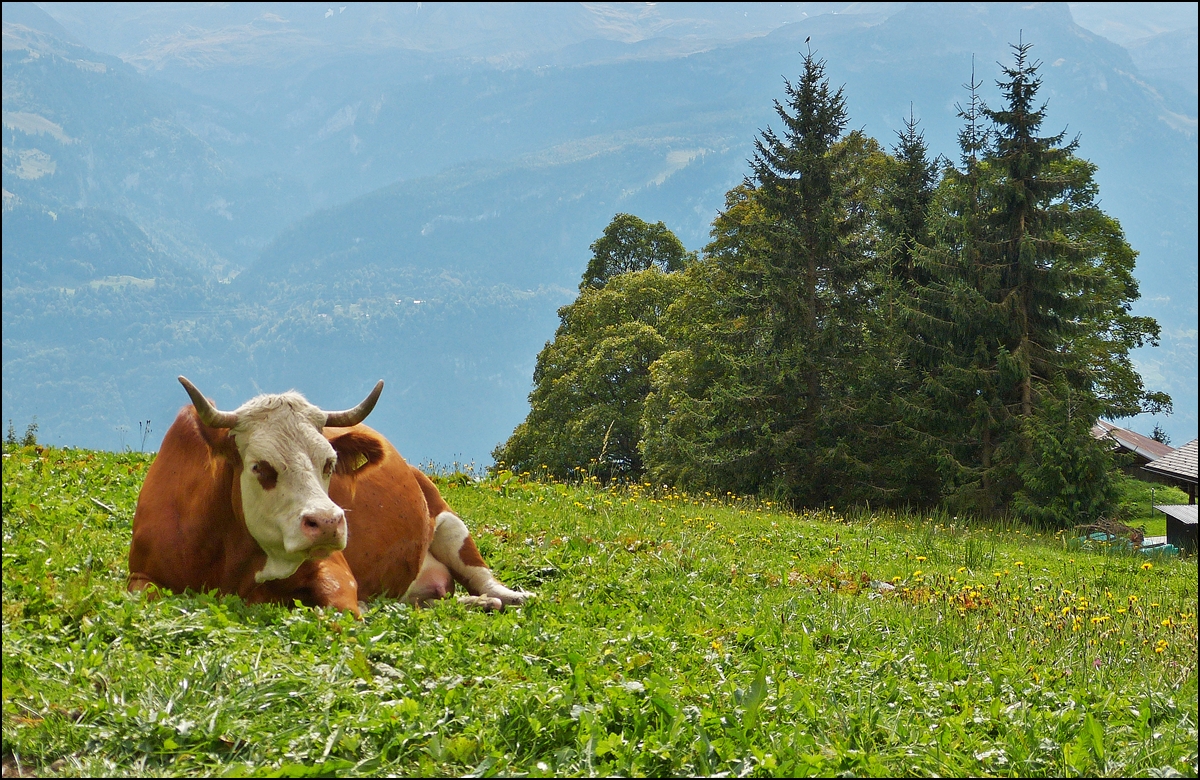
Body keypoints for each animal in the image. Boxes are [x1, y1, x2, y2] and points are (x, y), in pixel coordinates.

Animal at [125, 374, 530, 614]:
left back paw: (506, 596)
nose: (328, 522)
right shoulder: (141, 574)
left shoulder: (337, 571)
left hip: (449, 523)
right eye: (260, 467)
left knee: (481, 574)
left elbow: (344, 609)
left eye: (329, 462)